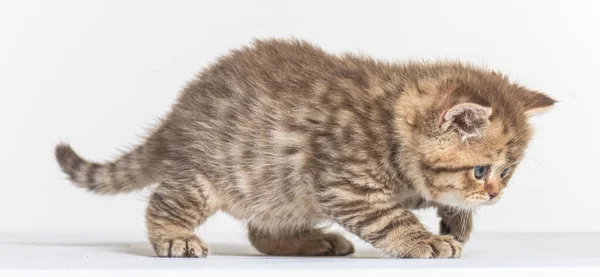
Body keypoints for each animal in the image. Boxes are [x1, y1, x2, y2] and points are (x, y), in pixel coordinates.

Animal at [54, 37, 556, 258]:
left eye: (506, 173)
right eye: (481, 170)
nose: (494, 194)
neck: (390, 120)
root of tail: (176, 117)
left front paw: (457, 220)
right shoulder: (346, 183)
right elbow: (392, 217)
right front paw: (425, 240)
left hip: (282, 191)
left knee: (261, 231)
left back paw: (313, 241)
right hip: (208, 175)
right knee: (163, 200)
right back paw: (175, 237)